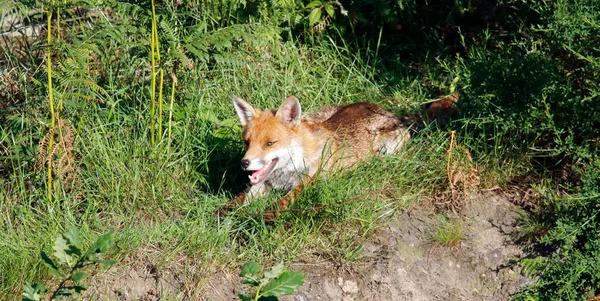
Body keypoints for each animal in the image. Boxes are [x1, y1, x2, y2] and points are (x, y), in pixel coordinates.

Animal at [223, 94, 458, 218]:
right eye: (247, 142)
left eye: (269, 143)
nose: (244, 163)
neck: (287, 174)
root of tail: (388, 112)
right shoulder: (262, 185)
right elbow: (237, 201)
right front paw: (224, 213)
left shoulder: (307, 183)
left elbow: (279, 205)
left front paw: (258, 218)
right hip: (317, 115)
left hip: (388, 148)